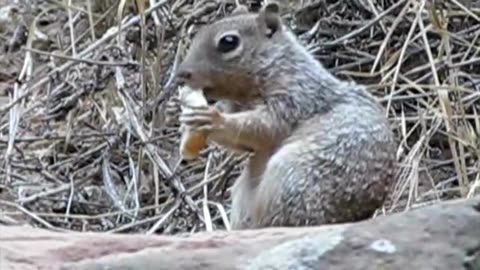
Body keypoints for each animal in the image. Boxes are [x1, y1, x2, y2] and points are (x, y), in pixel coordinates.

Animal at [176, 2, 398, 230]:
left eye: (228, 42)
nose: (181, 74)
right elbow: (245, 143)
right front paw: (186, 126)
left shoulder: (296, 97)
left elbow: (266, 127)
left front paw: (214, 119)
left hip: (292, 176)